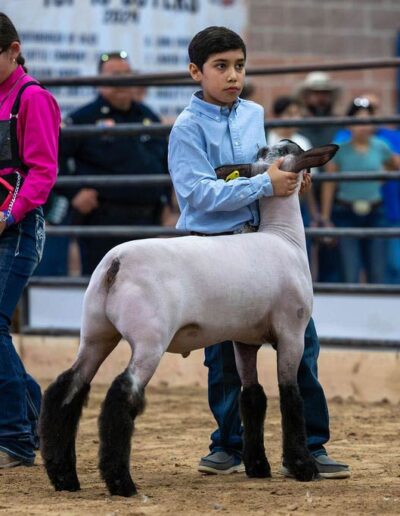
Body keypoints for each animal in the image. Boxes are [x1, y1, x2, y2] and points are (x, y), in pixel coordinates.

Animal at [39, 140, 338, 497]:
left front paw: (258, 467)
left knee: (67, 388)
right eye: (289, 149)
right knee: (121, 394)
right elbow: (291, 396)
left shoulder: (244, 338)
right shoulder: (291, 331)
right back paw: (121, 482)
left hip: (96, 332)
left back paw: (64, 477)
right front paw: (303, 466)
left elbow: (252, 397)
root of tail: (116, 263)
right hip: (150, 338)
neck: (282, 236)